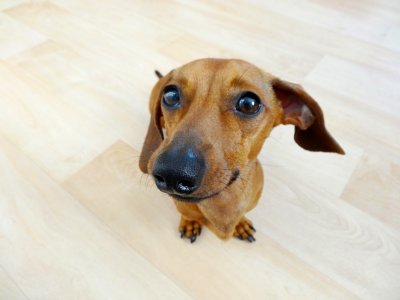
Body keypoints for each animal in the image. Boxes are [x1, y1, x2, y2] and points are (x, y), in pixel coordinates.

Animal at [138, 58, 344, 244]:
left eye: (248, 103)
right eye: (170, 95)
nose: (172, 172)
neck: (223, 199)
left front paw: (240, 224)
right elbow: (189, 215)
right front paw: (190, 223)